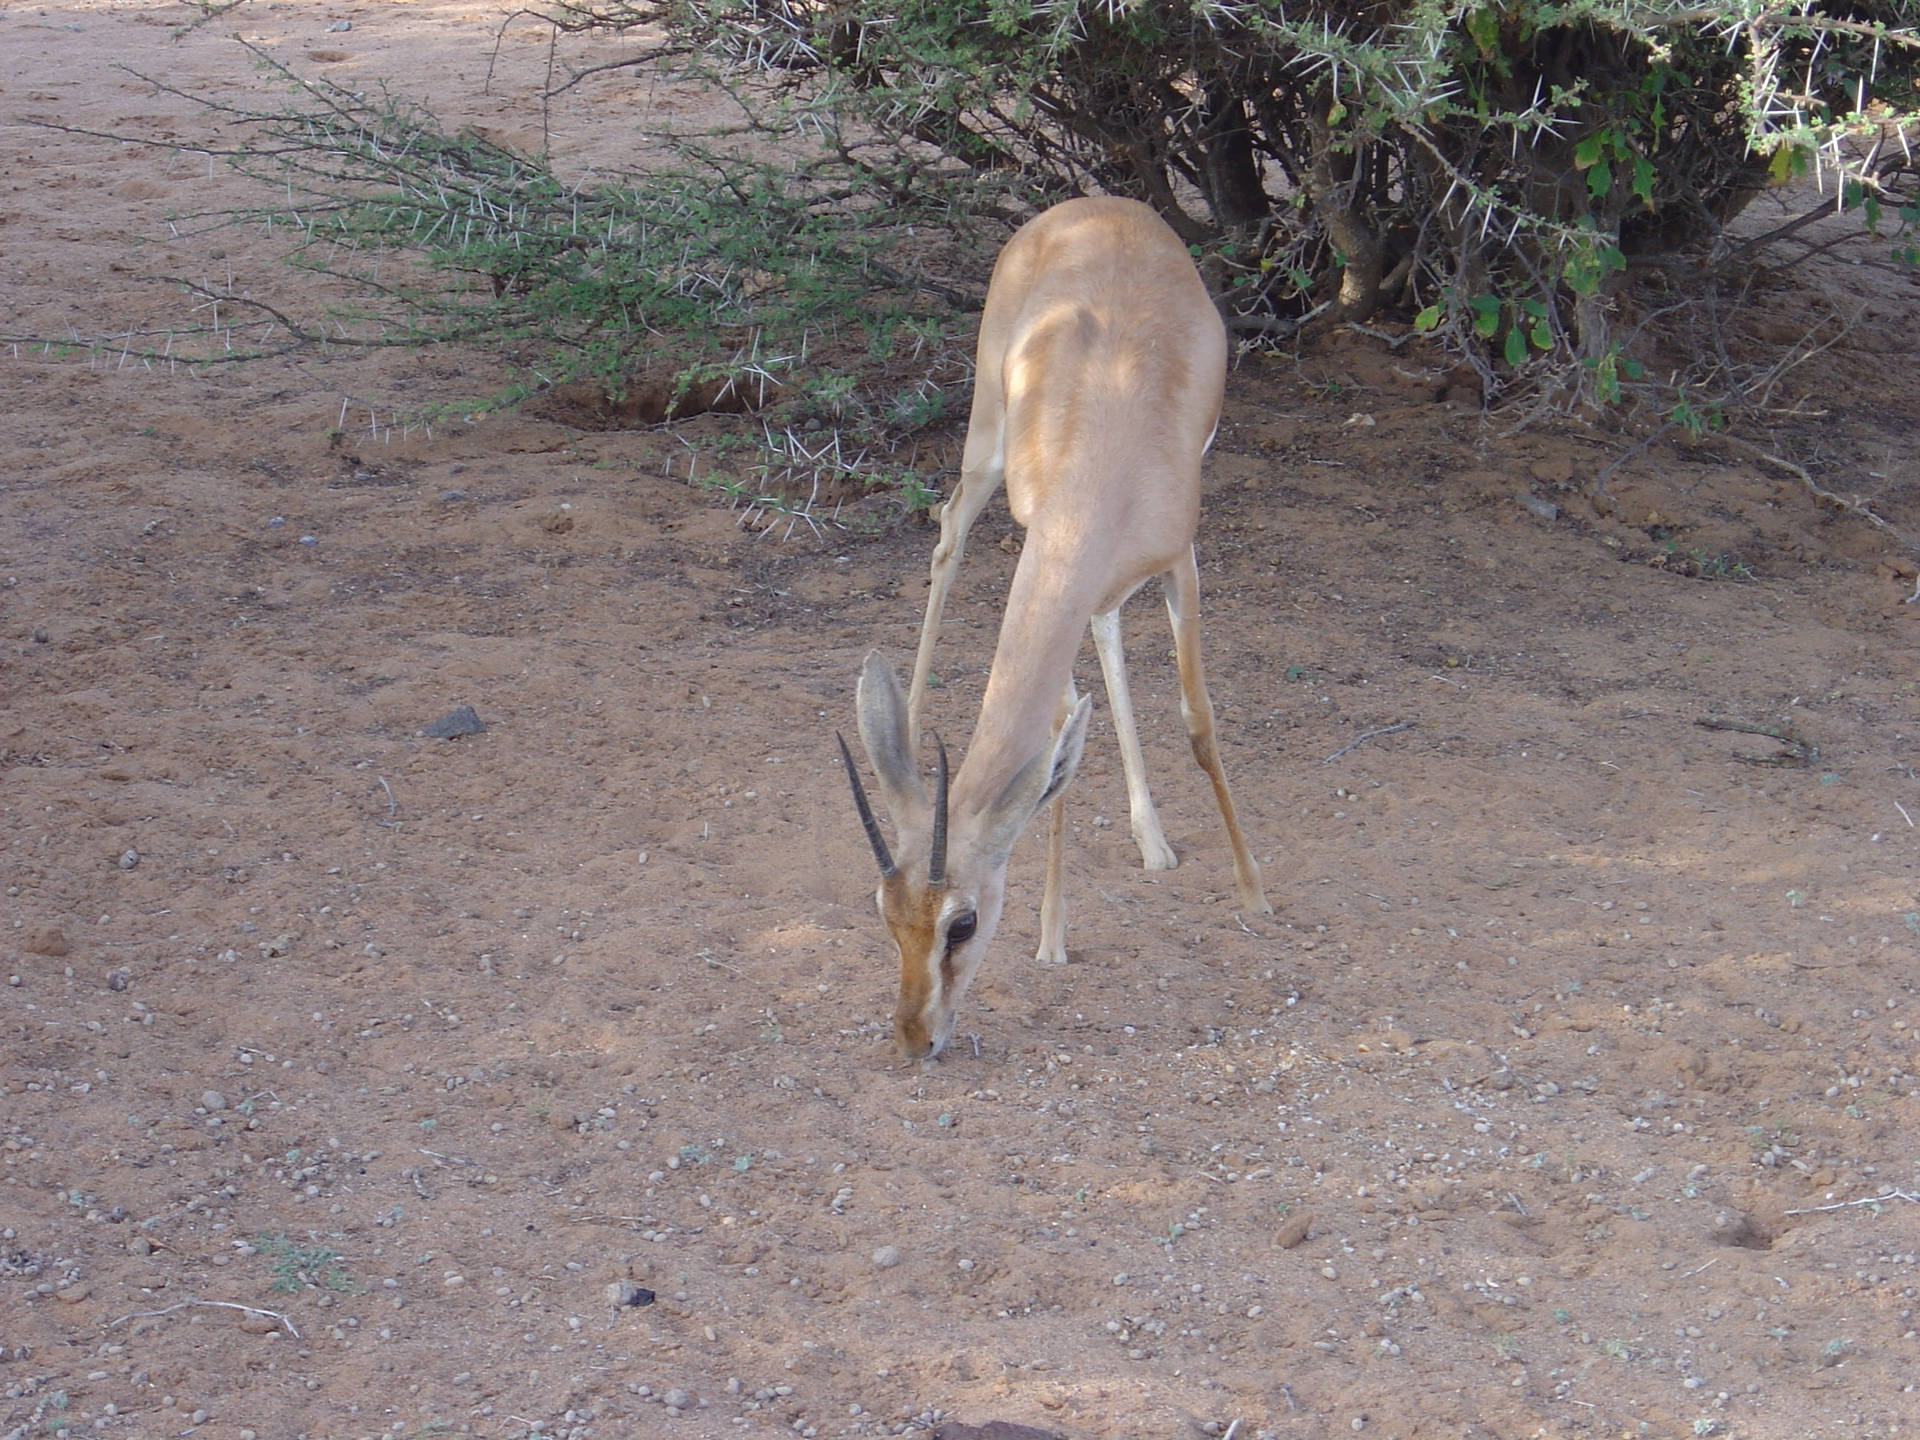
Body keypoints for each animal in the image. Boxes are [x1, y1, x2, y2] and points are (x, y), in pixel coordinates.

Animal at [844, 197, 1274, 1067]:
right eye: (884, 913)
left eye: (962, 923)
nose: (913, 1036)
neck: (1106, 456)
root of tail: (1099, 204)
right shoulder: (1043, 547)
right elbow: (1058, 748)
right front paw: (1051, 936)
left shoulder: (1181, 560)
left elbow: (1197, 720)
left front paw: (1252, 890)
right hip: (986, 439)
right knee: (949, 531)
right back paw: (909, 718)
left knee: (1103, 627)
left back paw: (1155, 842)